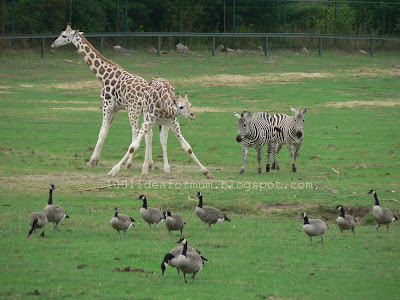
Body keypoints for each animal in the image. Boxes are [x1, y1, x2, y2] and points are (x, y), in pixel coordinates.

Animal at [50, 24, 156, 171]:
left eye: (64, 35)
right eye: (61, 33)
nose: (53, 44)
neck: (103, 76)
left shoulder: (107, 104)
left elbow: (101, 131)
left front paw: (91, 161)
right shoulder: (116, 108)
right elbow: (105, 132)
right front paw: (95, 160)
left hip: (133, 109)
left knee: (136, 131)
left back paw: (129, 164)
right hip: (145, 111)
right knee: (149, 132)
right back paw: (149, 163)